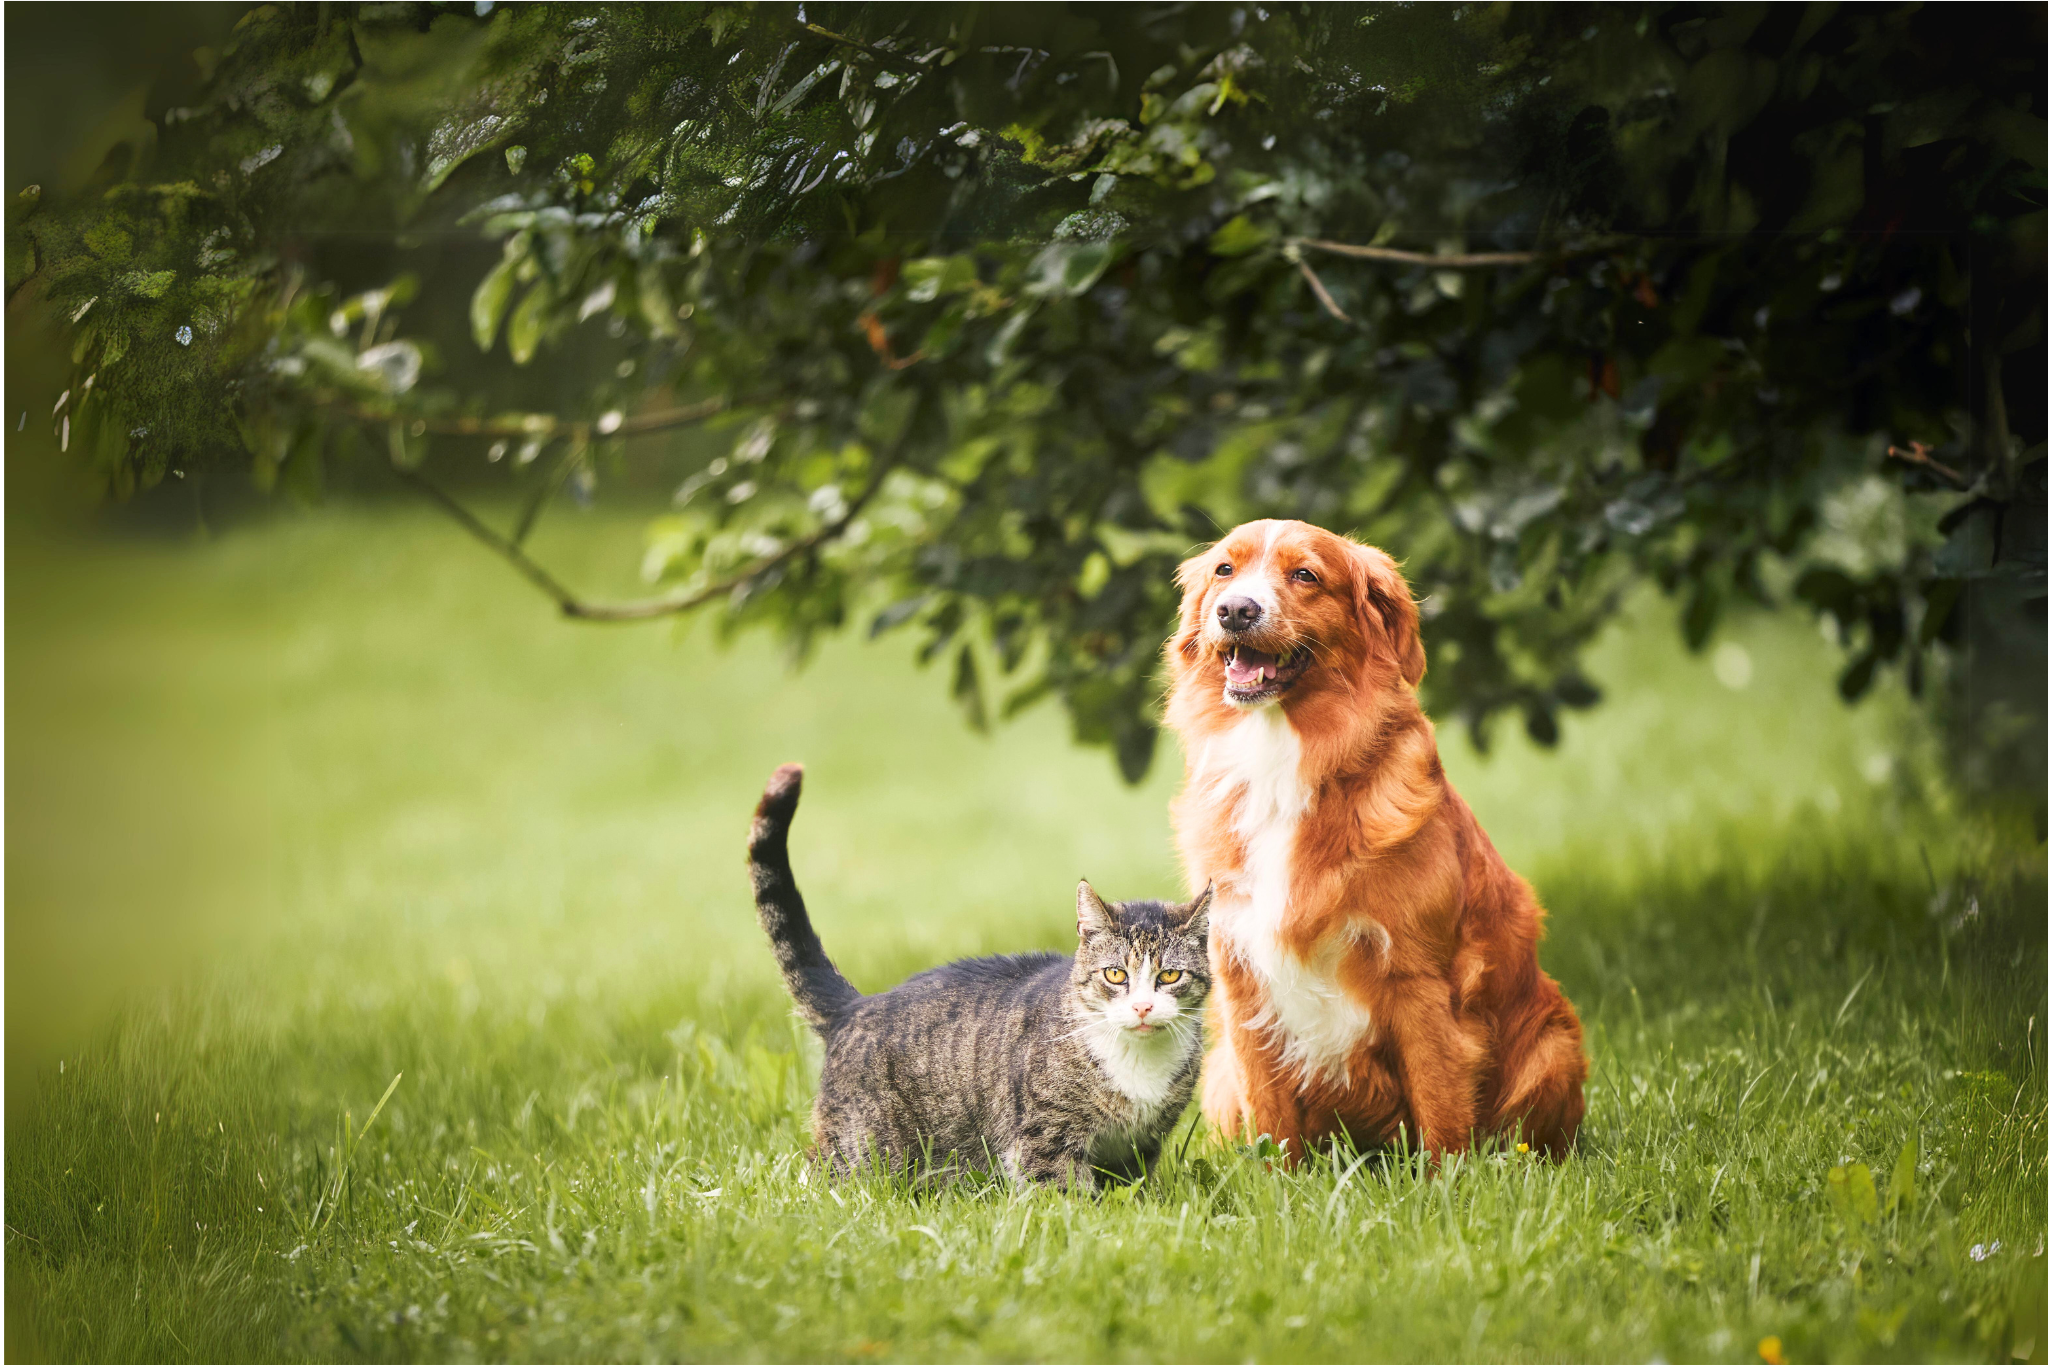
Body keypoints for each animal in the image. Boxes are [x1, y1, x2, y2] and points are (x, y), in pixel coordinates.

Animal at [745, 765, 1204, 1186]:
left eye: (1169, 976)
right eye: (1114, 974)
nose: (1142, 1007)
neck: (1140, 1066)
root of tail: (856, 1005)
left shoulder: (1138, 1147)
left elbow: (1130, 1190)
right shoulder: (1044, 1139)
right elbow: (1064, 1195)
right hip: (863, 1151)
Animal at [1163, 517, 1589, 1162]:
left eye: (1305, 574)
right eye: (1224, 571)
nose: (1235, 609)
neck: (1282, 757)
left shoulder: (1420, 980)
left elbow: (1440, 1110)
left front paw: (1446, 1184)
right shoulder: (1243, 981)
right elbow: (1271, 1125)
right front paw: (1276, 1184)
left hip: (1553, 1047)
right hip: (1218, 1074)